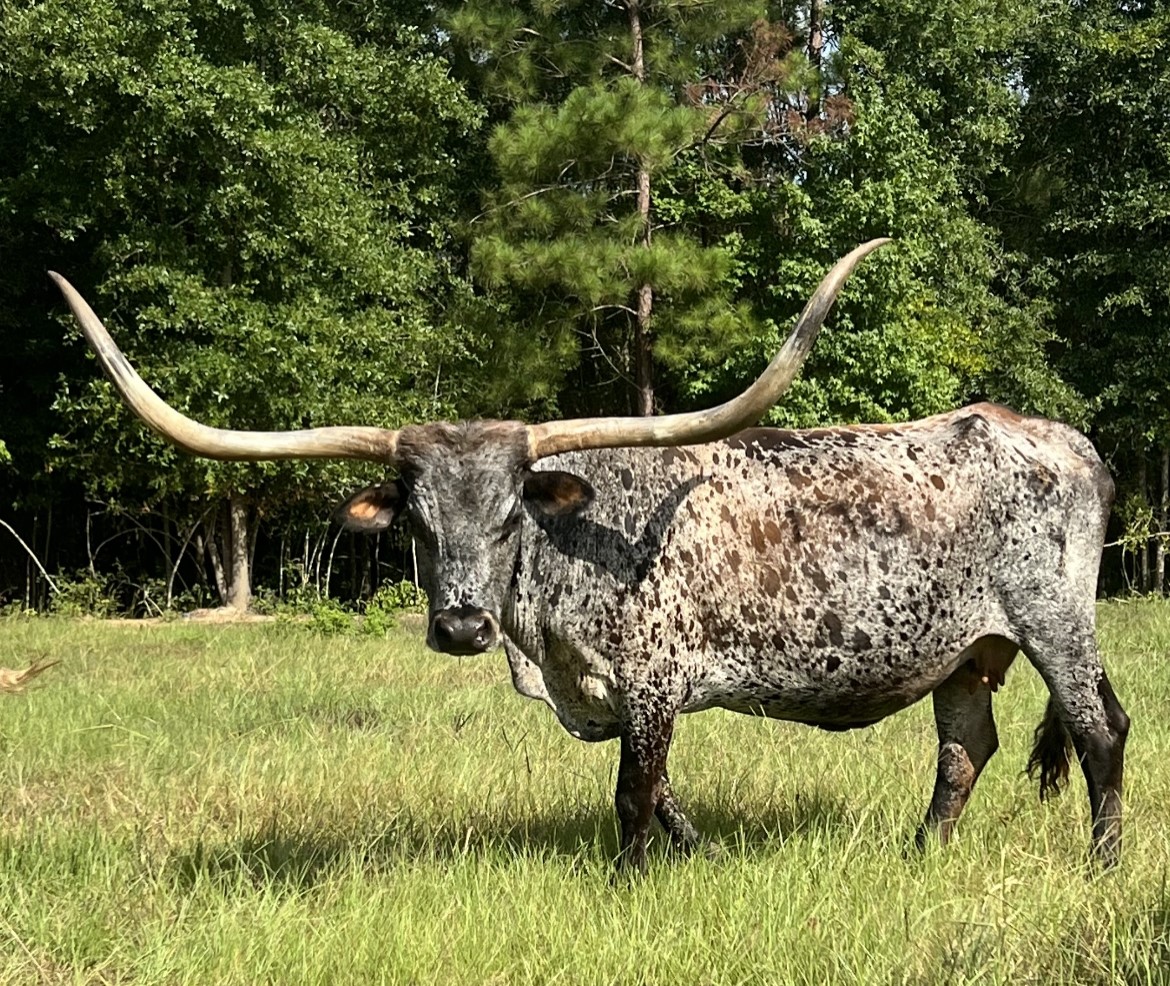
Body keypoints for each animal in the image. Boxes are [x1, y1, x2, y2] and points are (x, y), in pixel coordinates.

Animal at [51, 239, 1129, 874]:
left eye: (507, 516)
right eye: (417, 521)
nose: (461, 624)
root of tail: (1055, 436)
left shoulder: (653, 681)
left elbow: (633, 795)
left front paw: (629, 879)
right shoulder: (605, 693)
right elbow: (662, 795)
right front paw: (694, 863)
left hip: (1054, 621)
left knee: (1098, 731)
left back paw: (1104, 864)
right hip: (966, 647)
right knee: (964, 748)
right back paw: (918, 856)